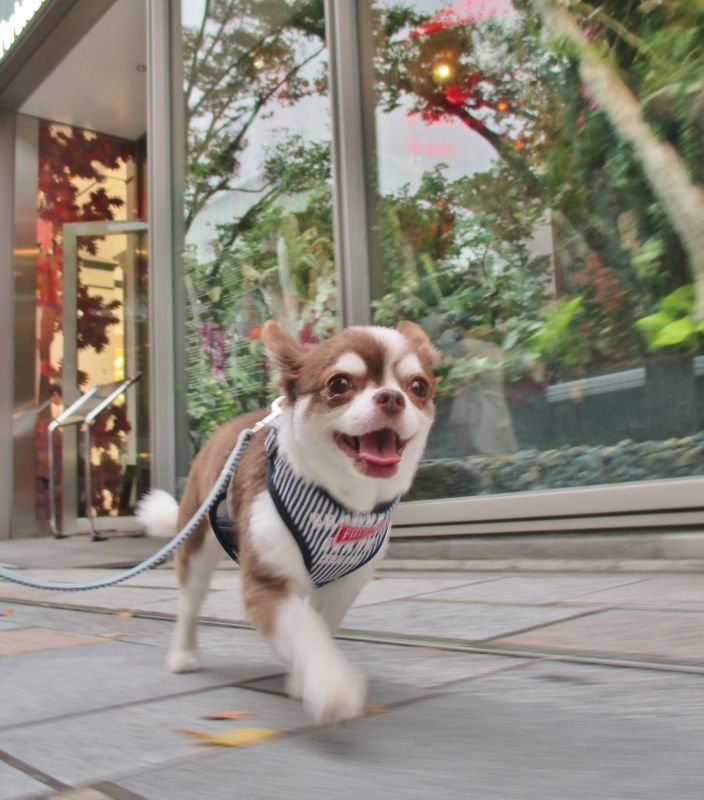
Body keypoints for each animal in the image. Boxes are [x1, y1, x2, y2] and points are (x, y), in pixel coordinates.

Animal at [138, 320, 438, 724]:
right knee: (190, 602)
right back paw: (183, 655)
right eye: (339, 384)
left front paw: (303, 679)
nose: (392, 397)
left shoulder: (344, 584)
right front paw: (331, 685)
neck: (343, 501)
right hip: (197, 544)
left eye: (418, 387)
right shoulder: (267, 583)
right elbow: (304, 630)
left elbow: (317, 628)